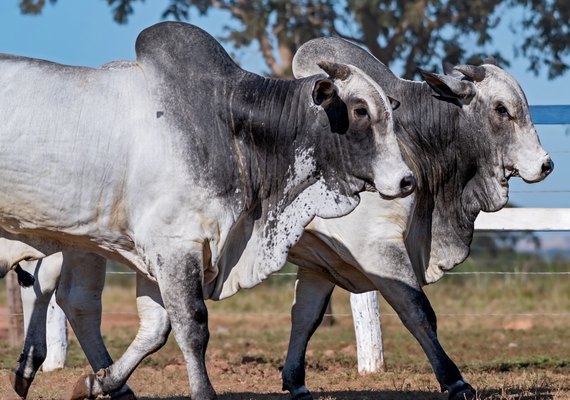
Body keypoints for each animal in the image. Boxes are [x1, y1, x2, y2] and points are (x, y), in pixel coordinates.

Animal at [0, 22, 410, 400]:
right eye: (360, 109)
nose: (407, 180)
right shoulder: (175, 245)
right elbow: (192, 326)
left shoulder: (156, 253)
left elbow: (156, 330)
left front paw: (97, 381)